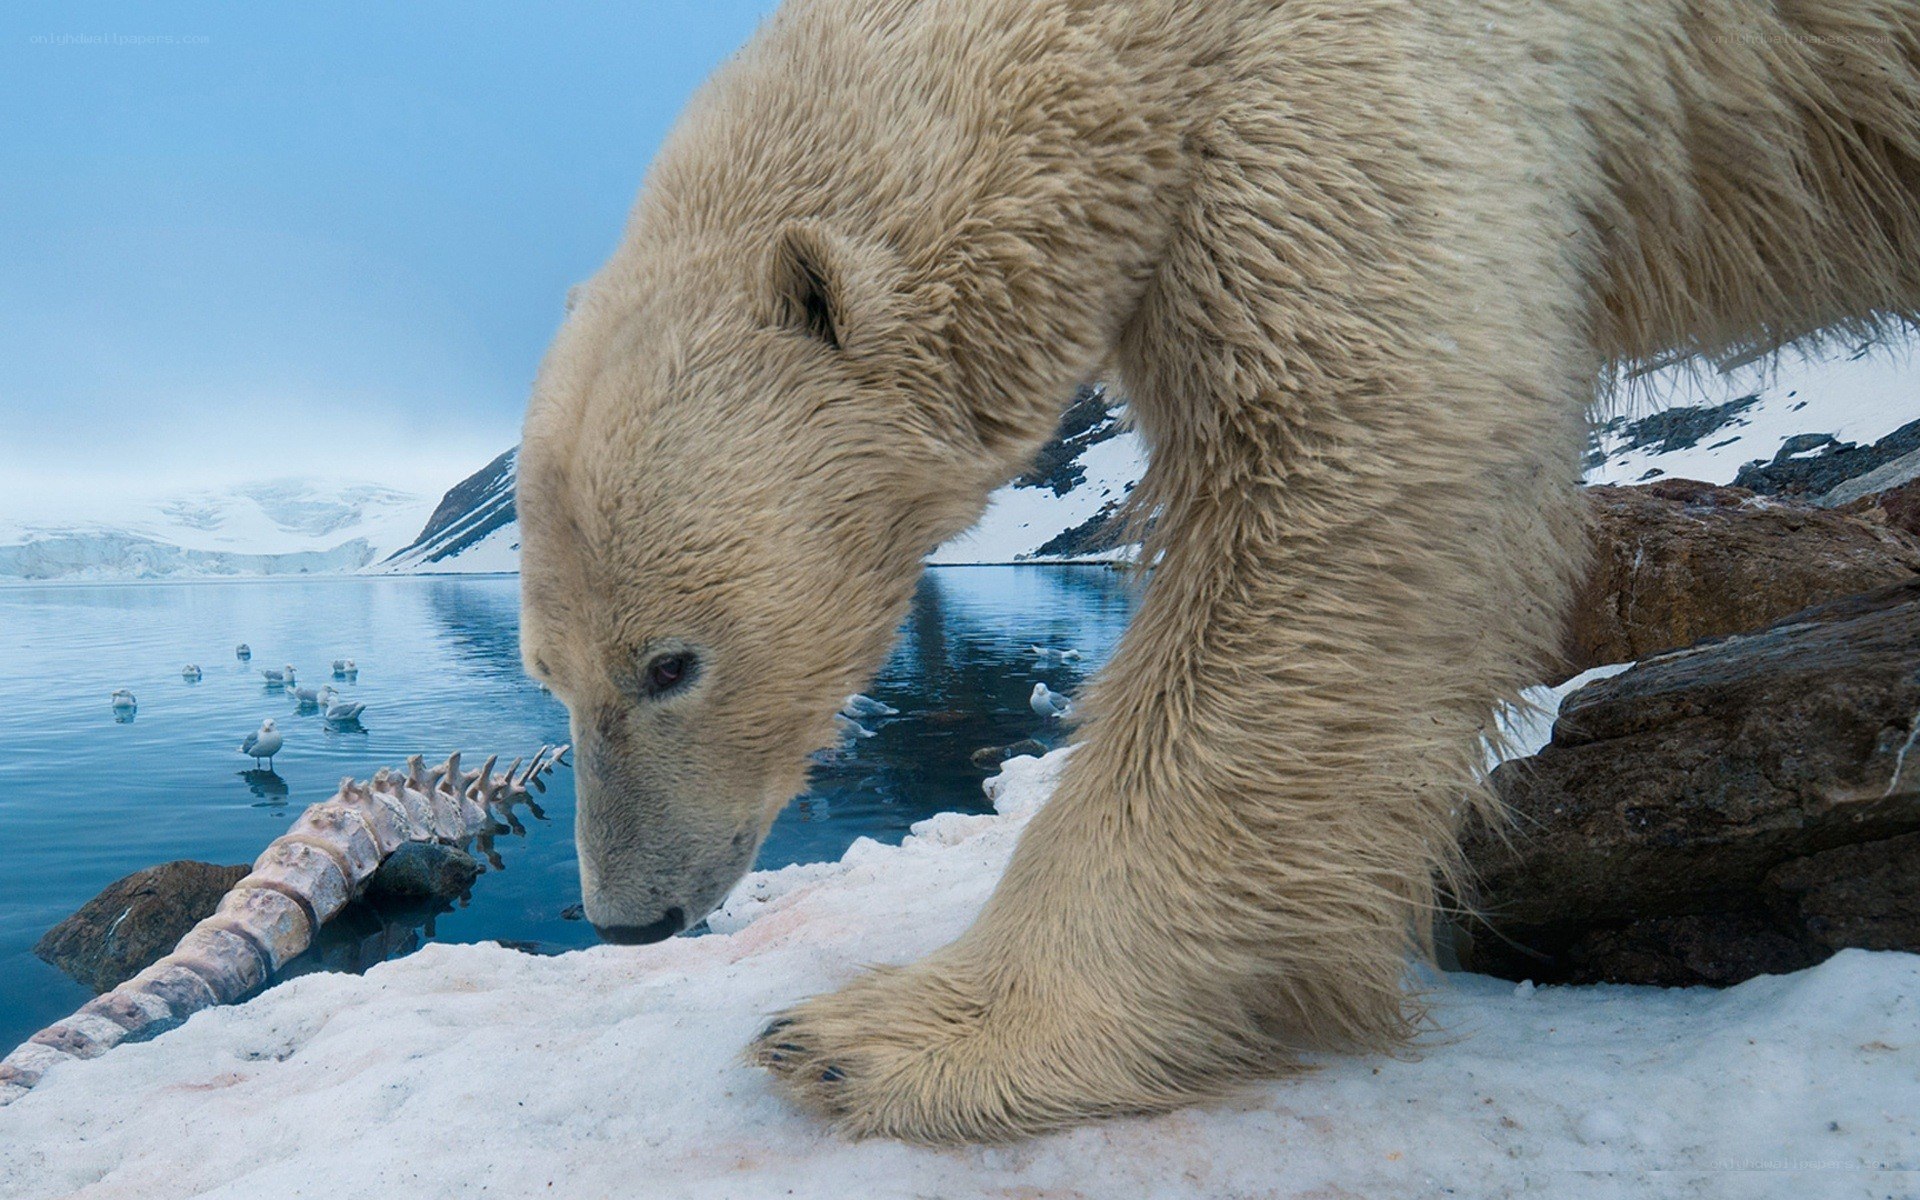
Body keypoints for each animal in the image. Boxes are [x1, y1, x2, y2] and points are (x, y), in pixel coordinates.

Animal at [515, 0, 1920, 1143]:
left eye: (671, 664)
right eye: (549, 675)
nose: (628, 917)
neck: (1138, 31)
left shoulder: (1357, 78)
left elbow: (1352, 468)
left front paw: (887, 1040)